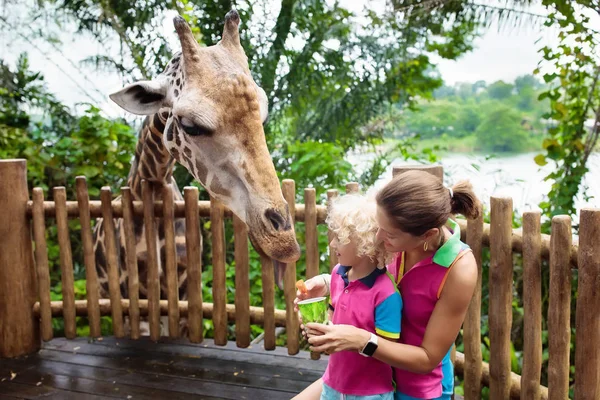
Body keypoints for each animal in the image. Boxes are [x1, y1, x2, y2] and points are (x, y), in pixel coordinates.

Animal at [95, 8, 300, 334]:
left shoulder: (183, 291)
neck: (151, 187)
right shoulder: (134, 301)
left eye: (264, 115)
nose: (284, 242)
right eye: (190, 125)